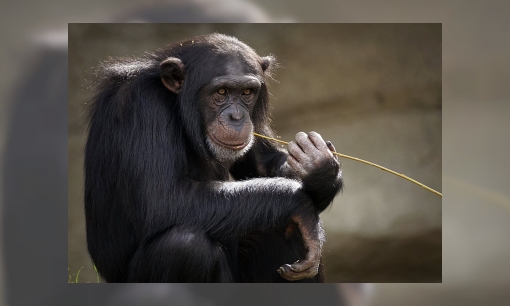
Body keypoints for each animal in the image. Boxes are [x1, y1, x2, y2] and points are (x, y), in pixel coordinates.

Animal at [85, 32, 342, 282]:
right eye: (221, 92)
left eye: (247, 92)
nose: (237, 117)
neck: (176, 104)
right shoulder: (142, 105)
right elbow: (162, 199)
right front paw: (299, 204)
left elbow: (262, 164)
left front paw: (320, 168)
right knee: (184, 245)